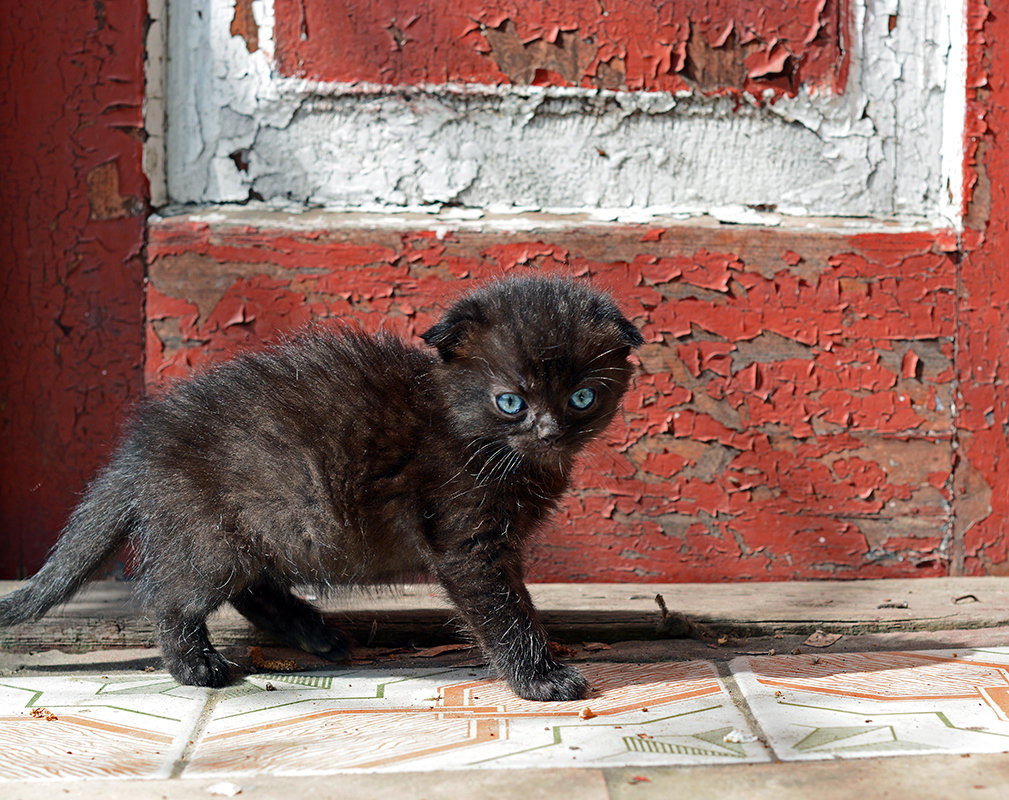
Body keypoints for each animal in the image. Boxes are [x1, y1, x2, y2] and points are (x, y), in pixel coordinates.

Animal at [0, 274, 641, 698]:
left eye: (582, 397)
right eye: (511, 402)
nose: (549, 431)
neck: (481, 440)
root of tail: (139, 450)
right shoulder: (468, 543)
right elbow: (505, 611)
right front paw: (541, 677)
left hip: (260, 530)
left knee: (251, 587)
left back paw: (314, 633)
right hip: (212, 534)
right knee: (172, 595)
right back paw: (197, 667)